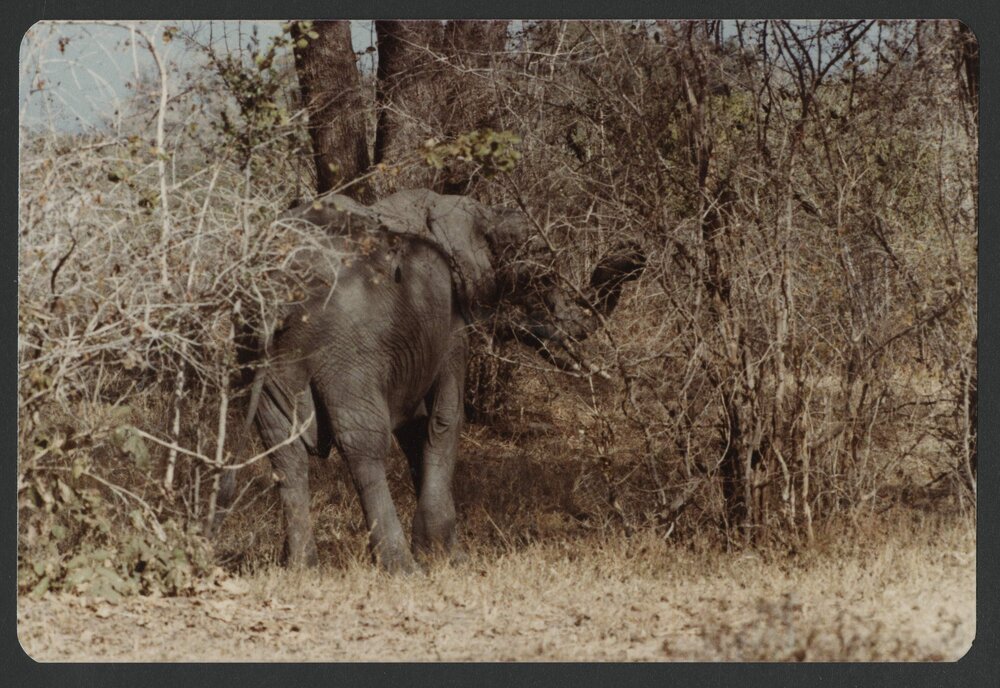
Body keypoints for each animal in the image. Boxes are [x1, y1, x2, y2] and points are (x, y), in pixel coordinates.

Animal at [214, 189, 644, 572]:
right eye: (540, 279)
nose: (634, 254)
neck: (459, 210)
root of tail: (277, 287)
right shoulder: (450, 319)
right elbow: (443, 419)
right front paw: (450, 558)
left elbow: (415, 429)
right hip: (347, 347)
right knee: (362, 442)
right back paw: (401, 568)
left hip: (260, 352)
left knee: (284, 449)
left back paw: (302, 569)